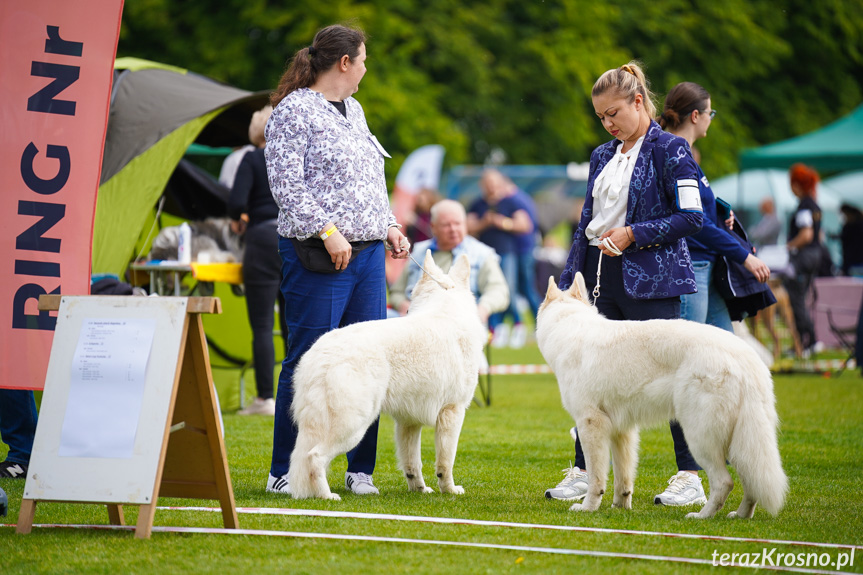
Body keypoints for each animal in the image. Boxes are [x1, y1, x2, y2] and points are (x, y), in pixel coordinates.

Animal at [288, 251, 486, 500]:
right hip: (353, 425)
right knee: (314, 457)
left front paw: (420, 489)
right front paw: (449, 489)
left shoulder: (409, 422)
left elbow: (412, 463)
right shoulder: (452, 412)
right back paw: (326, 496)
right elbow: (445, 462)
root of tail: (320, 356)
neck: (445, 309)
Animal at [540, 272, 788, 520]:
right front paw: (620, 507)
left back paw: (701, 516)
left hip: (700, 438)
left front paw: (587, 508)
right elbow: (623, 478)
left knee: (724, 482)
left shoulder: (590, 424)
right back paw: (741, 515)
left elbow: (596, 478)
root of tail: (746, 358)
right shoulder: (622, 431)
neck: (569, 327)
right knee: (752, 480)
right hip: (742, 442)